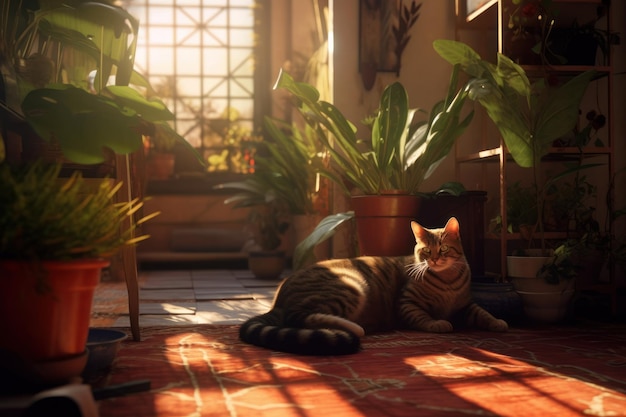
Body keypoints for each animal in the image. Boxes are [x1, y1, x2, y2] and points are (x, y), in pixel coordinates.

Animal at [239, 218, 508, 354]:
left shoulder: (466, 305)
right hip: (350, 285)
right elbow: (423, 318)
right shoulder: (406, 303)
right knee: (298, 317)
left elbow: (483, 313)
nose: (433, 260)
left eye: (442, 249)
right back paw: (355, 328)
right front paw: (438, 323)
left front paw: (498, 322)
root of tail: (279, 296)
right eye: (425, 251)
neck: (447, 280)